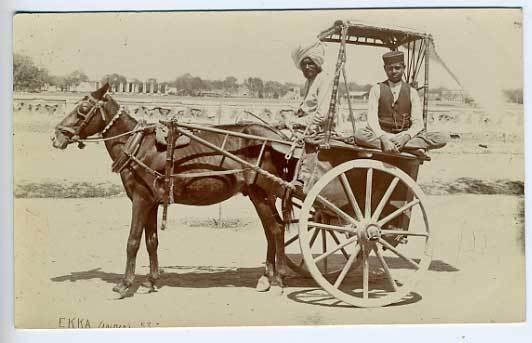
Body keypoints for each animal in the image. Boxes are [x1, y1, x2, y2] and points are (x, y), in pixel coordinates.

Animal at [52, 83, 298, 298]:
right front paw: (150, 281)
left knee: (276, 229)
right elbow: (151, 241)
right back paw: (267, 277)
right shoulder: (151, 202)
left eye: (83, 109)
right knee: (270, 230)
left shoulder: (140, 200)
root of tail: (278, 138)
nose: (56, 137)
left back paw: (278, 280)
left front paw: (125, 284)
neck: (140, 146)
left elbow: (133, 241)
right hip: (258, 195)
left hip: (263, 192)